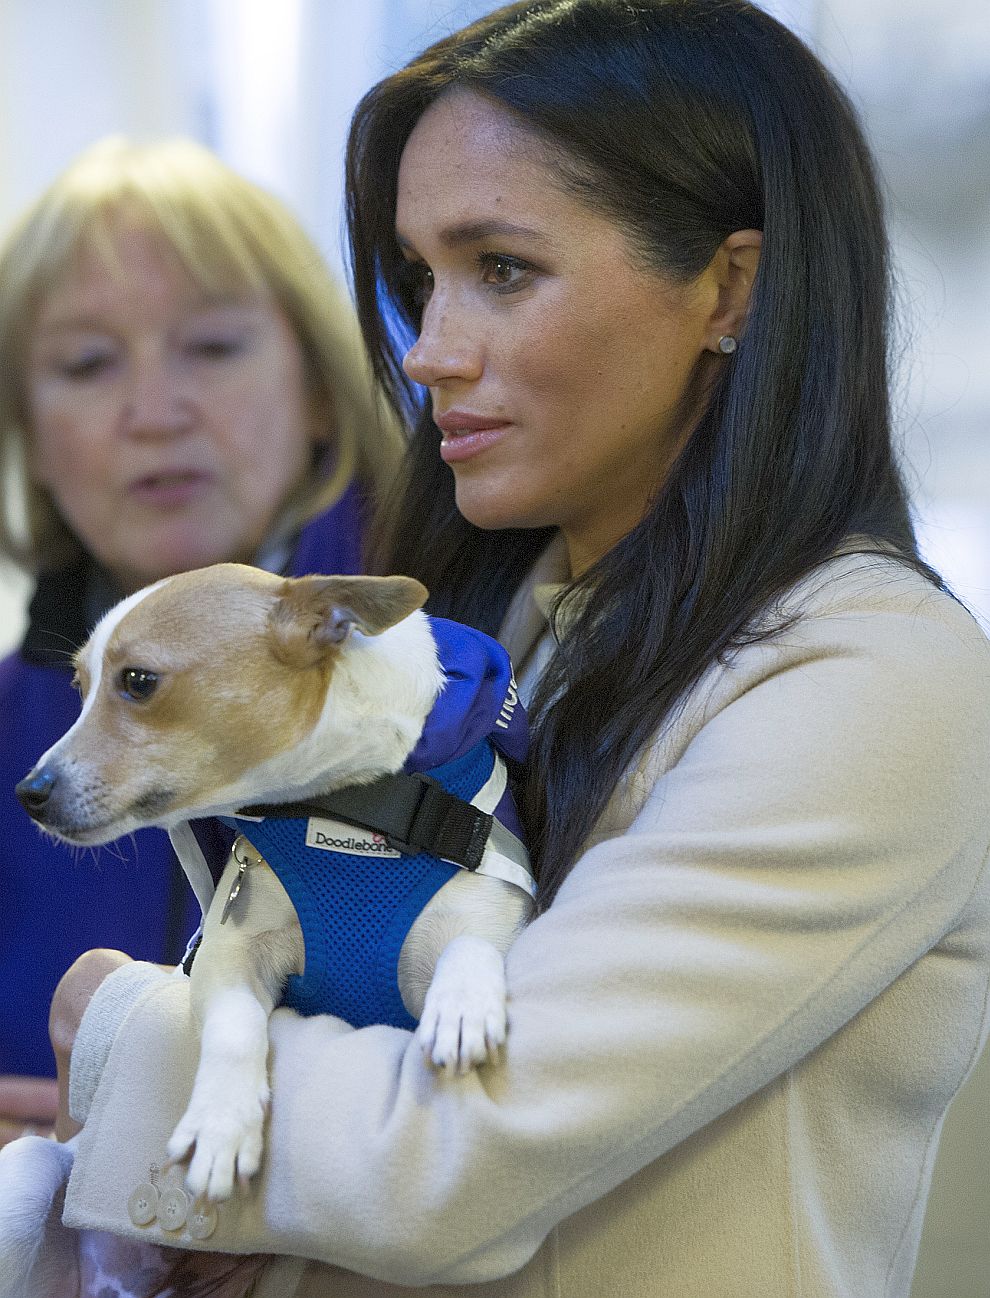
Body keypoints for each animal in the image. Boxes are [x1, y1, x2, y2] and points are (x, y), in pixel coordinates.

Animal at [11, 568, 534, 1204]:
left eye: (138, 682)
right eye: (79, 686)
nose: (28, 793)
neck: (349, 810)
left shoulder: (492, 911)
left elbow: (471, 944)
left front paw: (462, 1005)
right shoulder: (230, 955)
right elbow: (236, 1026)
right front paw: (221, 1122)